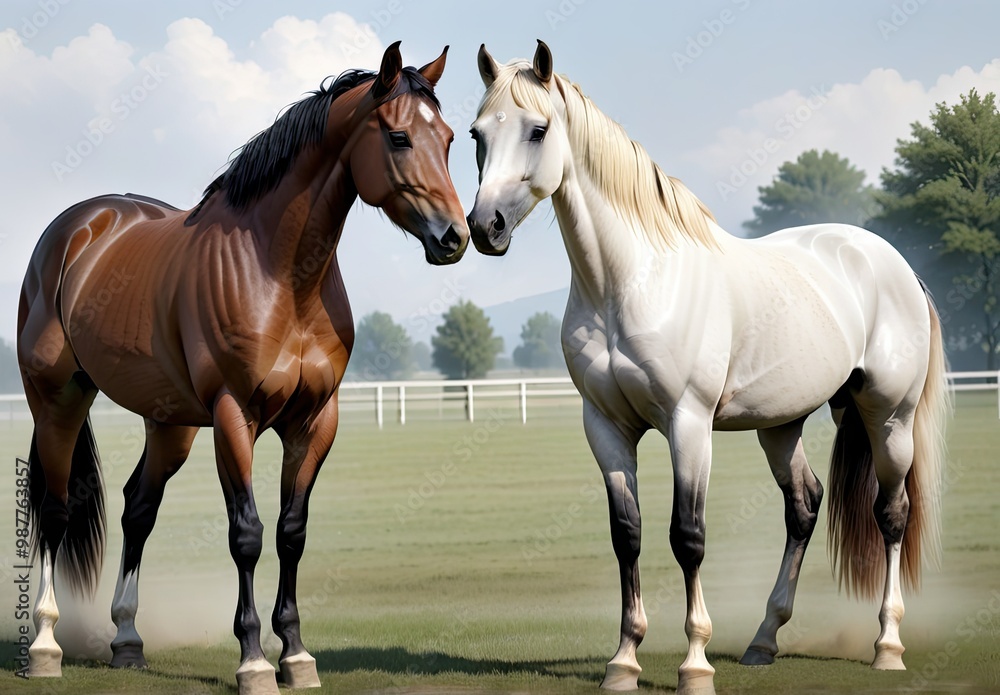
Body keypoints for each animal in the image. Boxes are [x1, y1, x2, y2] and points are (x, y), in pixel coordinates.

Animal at [19, 42, 468, 695]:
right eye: (400, 137)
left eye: (453, 138)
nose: (456, 236)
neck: (282, 276)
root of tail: (77, 228)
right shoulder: (235, 418)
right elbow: (248, 535)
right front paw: (254, 659)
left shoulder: (314, 422)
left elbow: (291, 531)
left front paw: (297, 655)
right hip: (59, 400)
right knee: (54, 509)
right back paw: (45, 645)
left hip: (170, 424)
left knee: (137, 509)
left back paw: (127, 639)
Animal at [466, 41, 948, 694]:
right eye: (476, 135)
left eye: (538, 130)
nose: (483, 226)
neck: (632, 283)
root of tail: (893, 262)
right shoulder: (606, 428)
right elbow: (628, 535)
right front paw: (624, 659)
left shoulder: (688, 424)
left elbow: (687, 537)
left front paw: (694, 663)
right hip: (781, 425)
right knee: (805, 506)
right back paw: (764, 640)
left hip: (889, 418)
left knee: (891, 515)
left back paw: (887, 645)